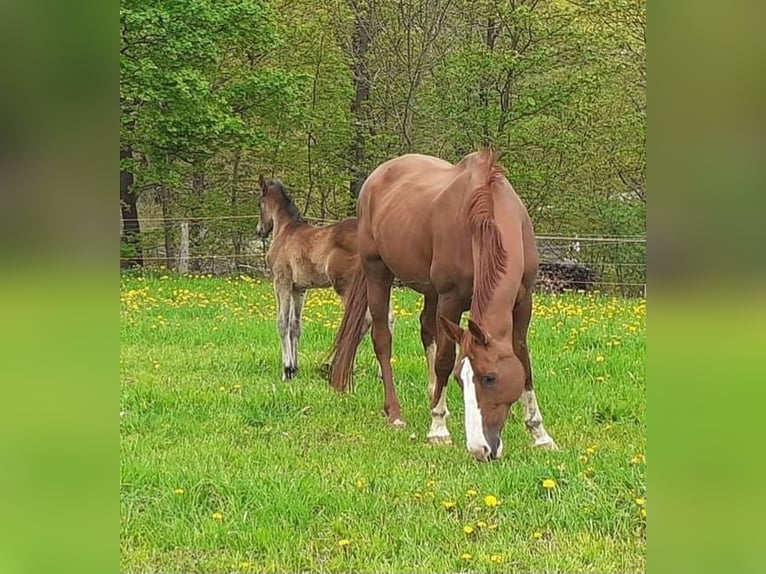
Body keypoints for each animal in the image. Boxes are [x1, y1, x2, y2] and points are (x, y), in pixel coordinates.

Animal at [256, 175, 391, 380]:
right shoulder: (299, 289)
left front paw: (286, 370)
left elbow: (282, 323)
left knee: (362, 323)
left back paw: (338, 367)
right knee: (387, 319)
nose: (259, 231)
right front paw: (294, 368)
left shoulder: (282, 283)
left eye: (259, 204)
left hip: (346, 287)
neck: (285, 231)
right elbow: (295, 325)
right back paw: (381, 373)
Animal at [327, 149, 557, 461]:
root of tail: (376, 177)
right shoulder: (451, 299)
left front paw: (539, 434)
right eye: (461, 379)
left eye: (489, 378)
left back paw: (432, 392)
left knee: (426, 330)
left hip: (430, 291)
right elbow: (445, 360)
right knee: (382, 339)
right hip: (378, 272)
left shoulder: (523, 302)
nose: (480, 450)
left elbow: (523, 359)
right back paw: (396, 413)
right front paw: (438, 428)